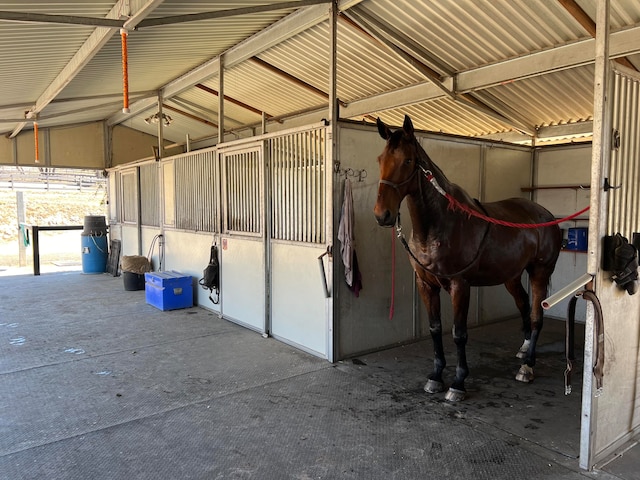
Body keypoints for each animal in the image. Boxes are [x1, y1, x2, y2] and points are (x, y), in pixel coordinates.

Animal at [372, 115, 564, 402]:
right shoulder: (425, 285)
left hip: (540, 272)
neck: (442, 223)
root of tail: (546, 215)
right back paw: (524, 349)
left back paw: (527, 367)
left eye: (407, 161)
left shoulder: (459, 286)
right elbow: (435, 328)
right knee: (523, 305)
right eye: (380, 159)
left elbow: (459, 334)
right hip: (511, 276)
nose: (382, 215)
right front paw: (435, 377)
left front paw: (458, 383)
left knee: (535, 316)